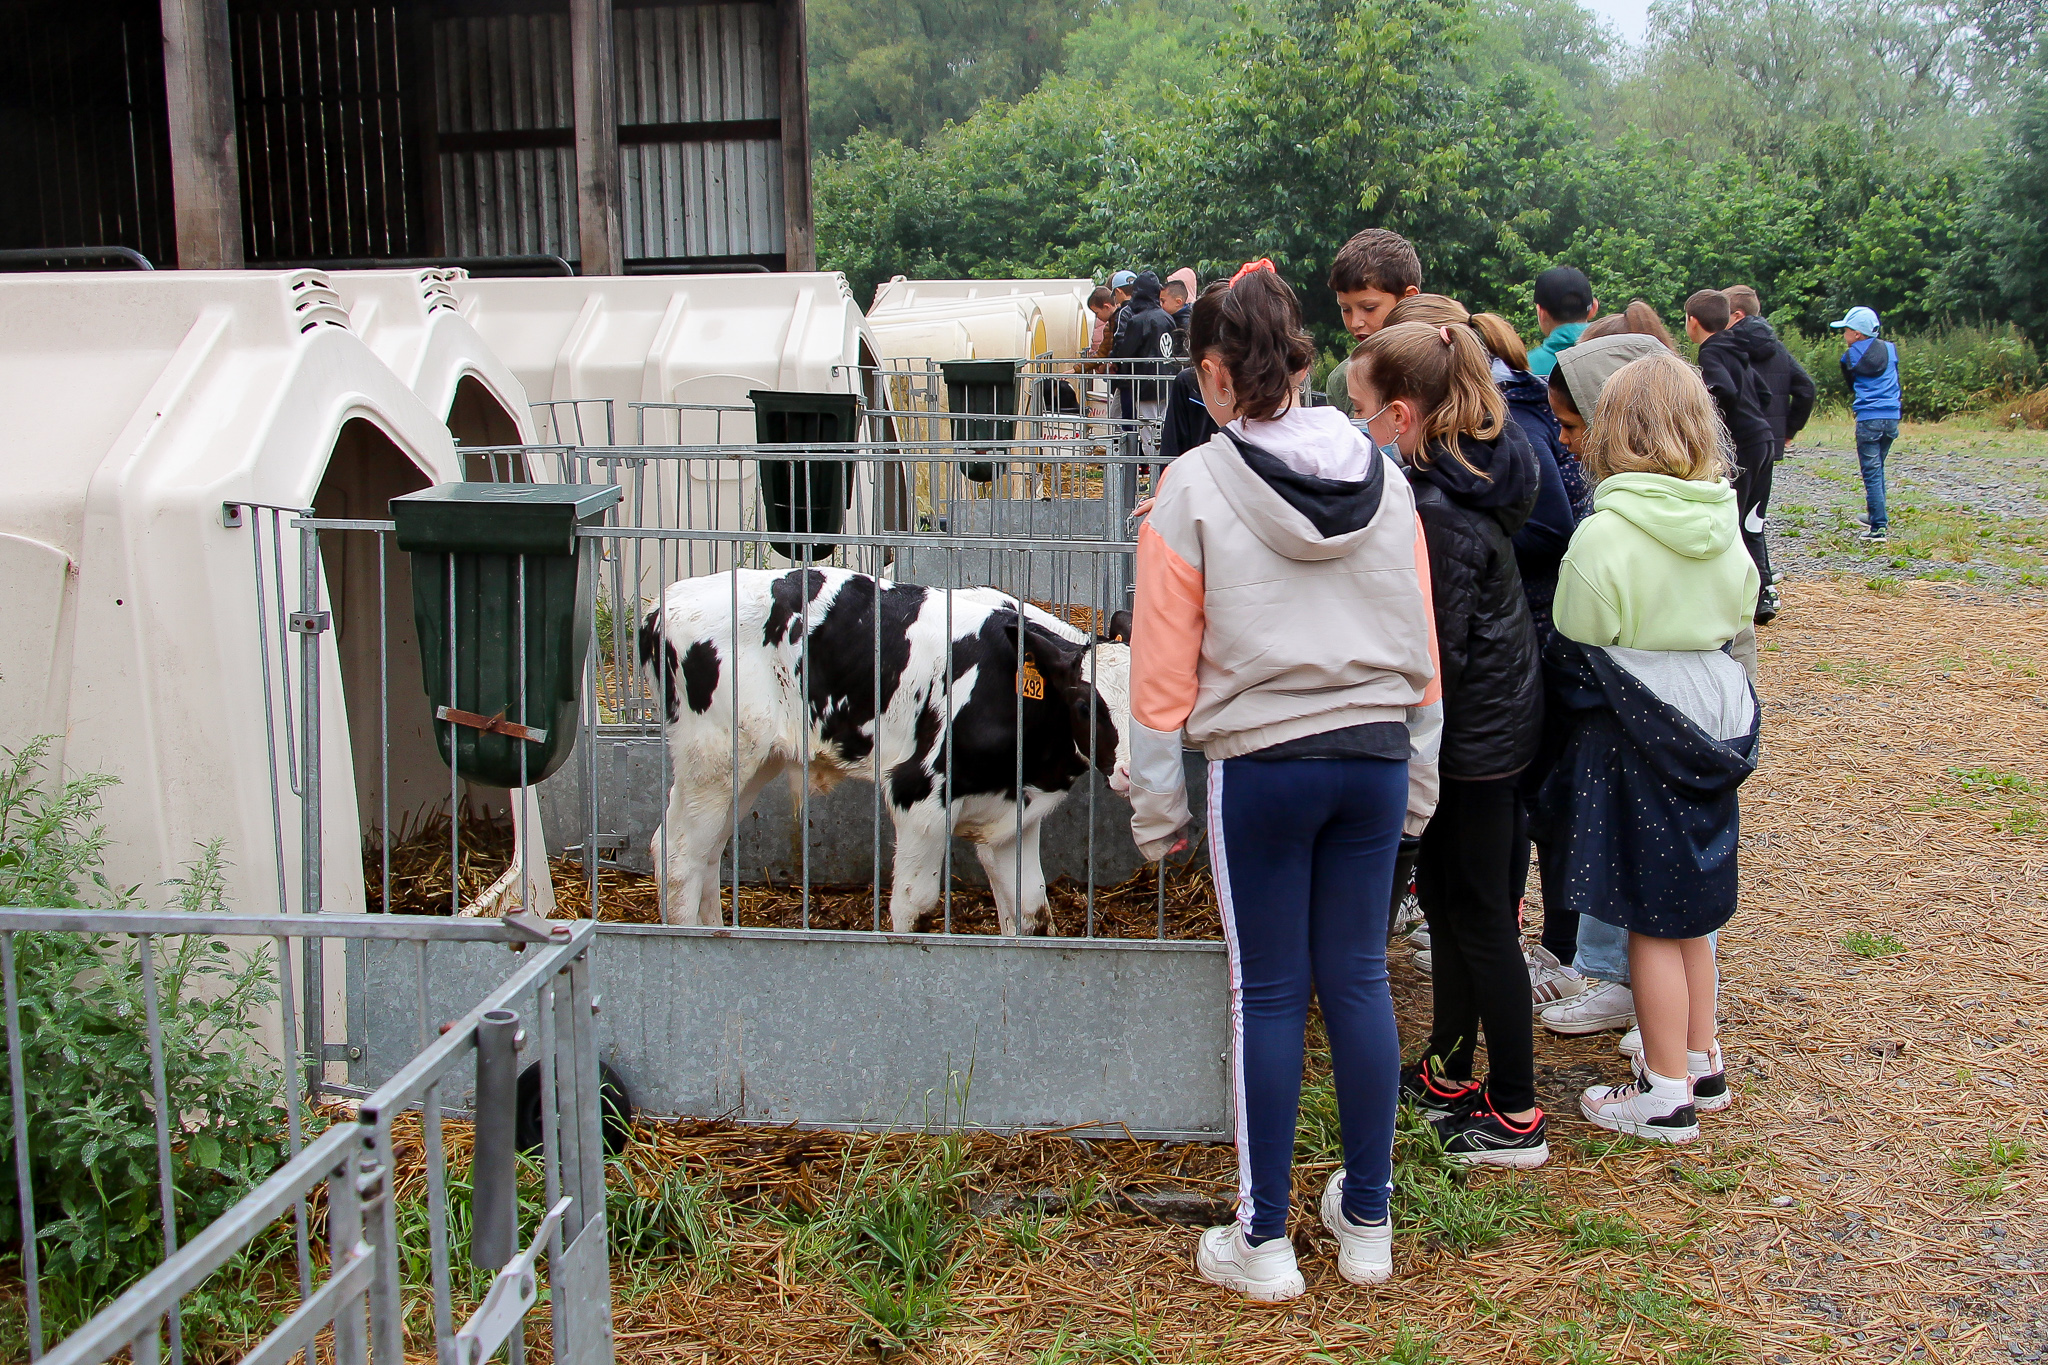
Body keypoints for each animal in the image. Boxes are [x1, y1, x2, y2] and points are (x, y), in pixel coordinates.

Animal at [634, 568, 1138, 941]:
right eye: (1084, 706)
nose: (1133, 773)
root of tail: (662, 605)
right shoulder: (917, 796)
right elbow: (916, 908)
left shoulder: (1012, 817)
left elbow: (1032, 912)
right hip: (714, 758)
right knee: (678, 855)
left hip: (748, 765)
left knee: (705, 851)